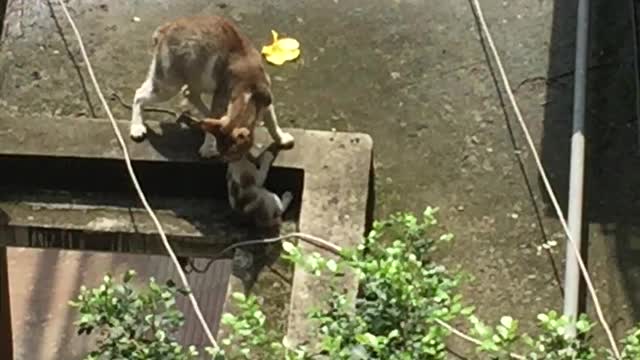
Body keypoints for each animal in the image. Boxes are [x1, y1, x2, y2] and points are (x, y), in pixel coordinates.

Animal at [130, 15, 296, 161]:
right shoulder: (222, 98)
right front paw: (208, 148)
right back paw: (137, 127)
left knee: (189, 93)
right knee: (139, 95)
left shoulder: (266, 100)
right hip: (169, 84)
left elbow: (272, 123)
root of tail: (165, 29)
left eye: (234, 155)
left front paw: (281, 138)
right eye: (225, 154)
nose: (226, 161)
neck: (249, 92)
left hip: (195, 76)